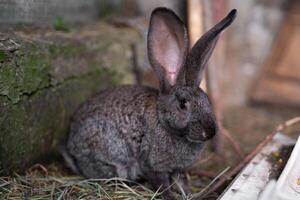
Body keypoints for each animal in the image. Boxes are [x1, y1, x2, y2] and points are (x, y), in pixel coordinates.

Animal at [61, 7, 237, 198]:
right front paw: (171, 197)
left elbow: (180, 181)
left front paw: (188, 193)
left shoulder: (176, 169)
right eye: (183, 104)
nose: (210, 132)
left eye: (207, 99)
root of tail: (71, 143)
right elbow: (162, 183)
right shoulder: (152, 164)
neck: (165, 122)